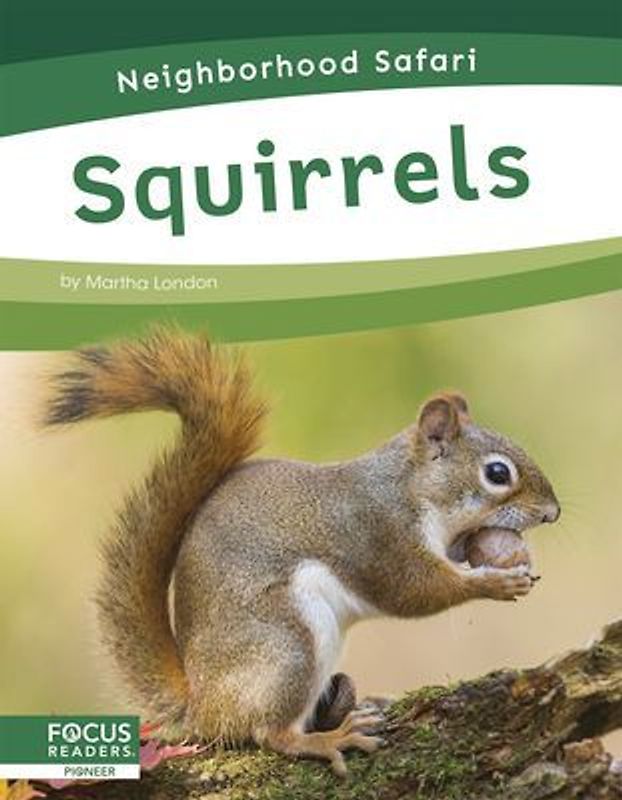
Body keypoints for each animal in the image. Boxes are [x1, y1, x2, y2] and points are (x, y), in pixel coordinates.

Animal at [44, 327, 560, 776]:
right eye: (497, 473)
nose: (552, 513)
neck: (408, 488)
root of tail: (201, 704)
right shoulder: (378, 534)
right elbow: (414, 591)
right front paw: (496, 583)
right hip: (288, 642)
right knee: (270, 733)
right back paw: (328, 739)